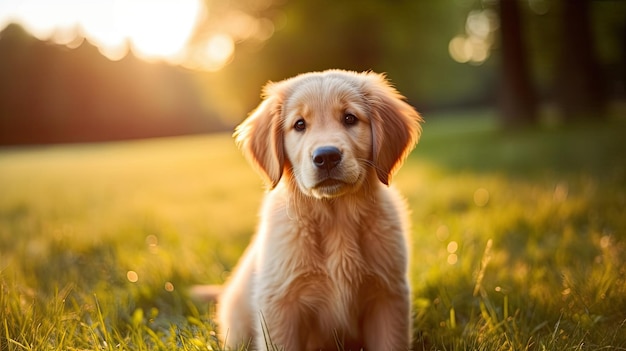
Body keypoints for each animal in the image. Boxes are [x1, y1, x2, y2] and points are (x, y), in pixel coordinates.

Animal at [217, 70, 422, 350]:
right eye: (299, 124)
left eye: (350, 118)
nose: (326, 157)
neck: (335, 218)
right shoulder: (280, 304)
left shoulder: (388, 296)